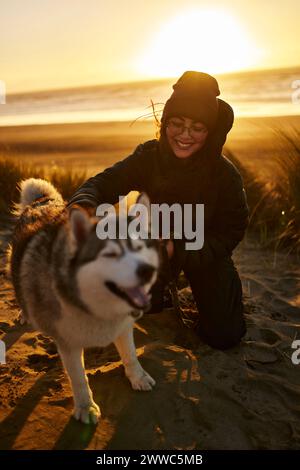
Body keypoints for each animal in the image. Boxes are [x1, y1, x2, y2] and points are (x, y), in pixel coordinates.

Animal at [9, 178, 159, 424]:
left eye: (139, 248)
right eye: (110, 254)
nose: (147, 271)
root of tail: (42, 200)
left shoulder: (123, 326)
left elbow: (130, 355)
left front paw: (138, 377)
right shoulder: (68, 342)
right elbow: (78, 378)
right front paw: (85, 407)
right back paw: (24, 313)